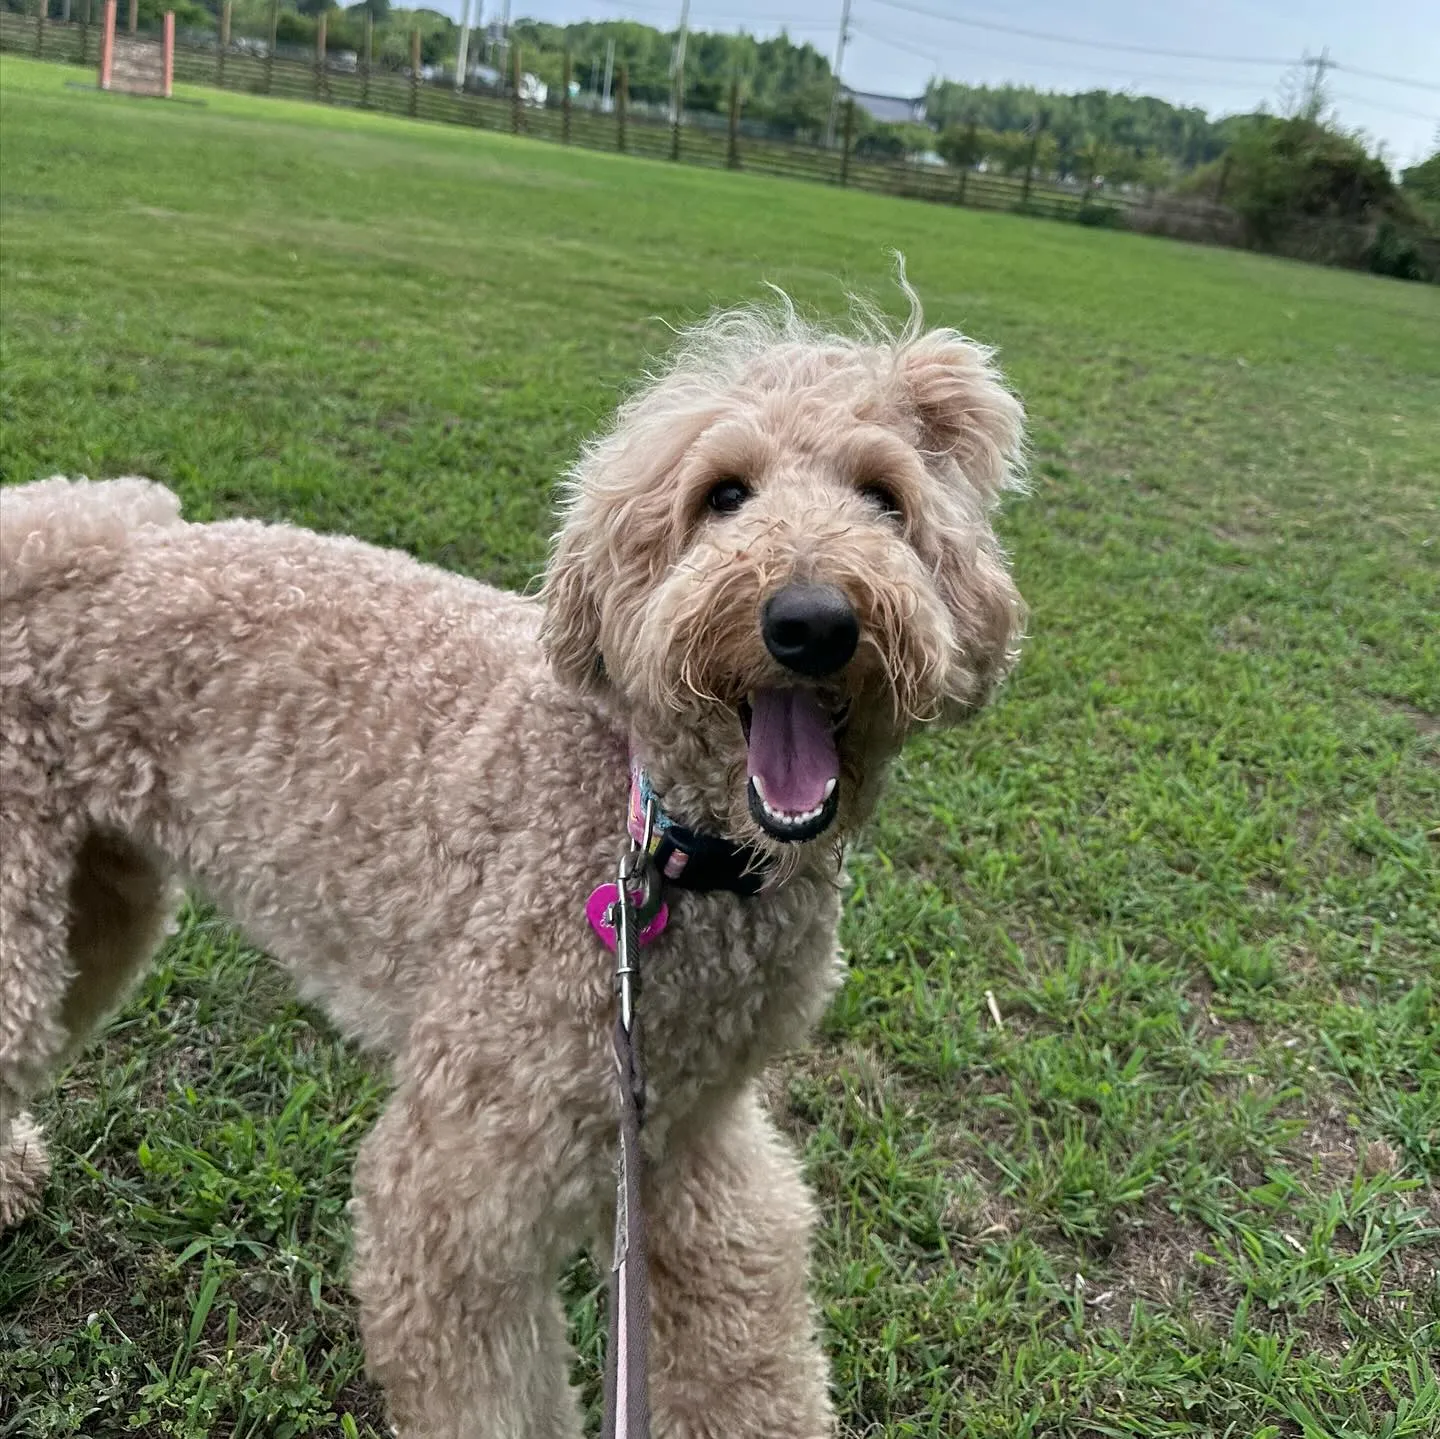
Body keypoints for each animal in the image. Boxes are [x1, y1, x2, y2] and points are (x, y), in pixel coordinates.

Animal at [0, 286, 1025, 1434]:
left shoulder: (689, 1136)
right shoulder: (462, 1181)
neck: (660, 834)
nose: (812, 619)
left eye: (885, 500)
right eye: (723, 495)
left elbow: (746, 1340)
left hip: (98, 900)